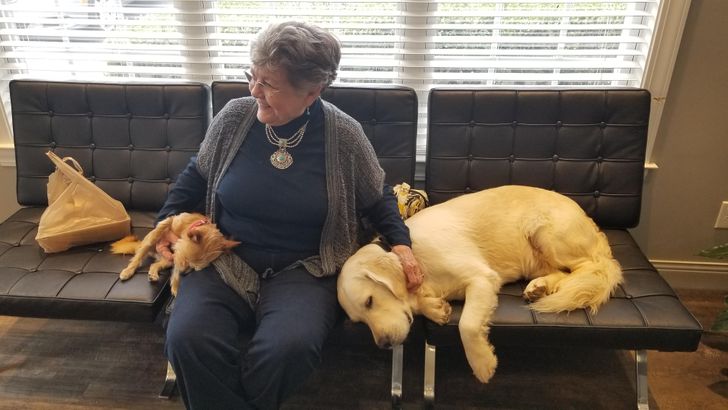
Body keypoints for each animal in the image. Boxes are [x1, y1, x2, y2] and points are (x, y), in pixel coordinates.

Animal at [112, 213, 240, 296]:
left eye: (195, 268)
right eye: (185, 260)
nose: (184, 274)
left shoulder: (175, 257)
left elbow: (176, 270)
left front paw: (175, 285)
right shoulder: (171, 220)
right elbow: (163, 226)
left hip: (167, 259)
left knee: (154, 265)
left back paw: (153, 274)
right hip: (147, 246)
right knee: (138, 257)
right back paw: (128, 271)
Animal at [338, 186, 624, 384]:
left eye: (369, 301)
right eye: (359, 320)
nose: (384, 344)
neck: (416, 258)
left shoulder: (481, 278)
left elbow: (467, 324)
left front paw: (482, 363)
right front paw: (435, 309)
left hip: (548, 233)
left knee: (589, 268)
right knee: (560, 272)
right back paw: (539, 286)